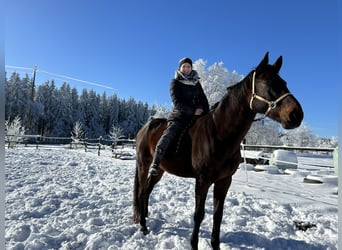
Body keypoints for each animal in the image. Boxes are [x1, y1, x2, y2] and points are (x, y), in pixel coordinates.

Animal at [132, 51, 304, 249]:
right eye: (268, 83)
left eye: (284, 83)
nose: (296, 114)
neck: (218, 133)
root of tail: (145, 128)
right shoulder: (202, 181)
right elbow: (199, 215)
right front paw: (194, 244)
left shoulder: (224, 181)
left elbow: (218, 215)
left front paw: (215, 244)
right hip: (144, 165)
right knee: (142, 191)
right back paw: (143, 226)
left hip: (159, 169)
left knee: (147, 190)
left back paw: (144, 217)